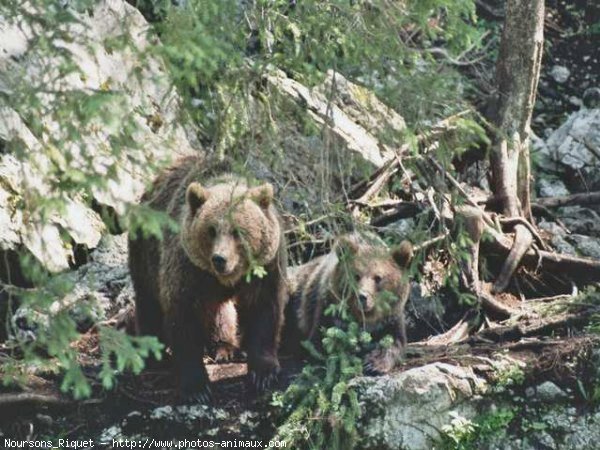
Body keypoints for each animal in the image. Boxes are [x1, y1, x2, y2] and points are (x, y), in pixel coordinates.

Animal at [128, 156, 286, 402]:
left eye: (238, 231)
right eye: (211, 230)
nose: (220, 259)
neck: (228, 278)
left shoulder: (266, 269)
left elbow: (264, 311)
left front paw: (263, 373)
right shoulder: (188, 270)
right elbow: (183, 320)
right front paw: (196, 387)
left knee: (218, 312)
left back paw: (225, 347)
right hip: (145, 252)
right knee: (148, 302)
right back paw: (151, 352)